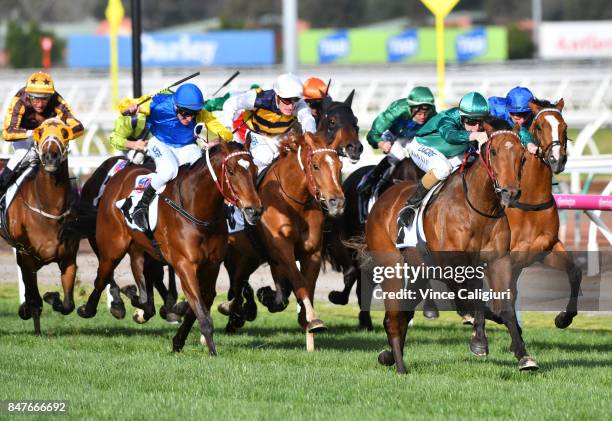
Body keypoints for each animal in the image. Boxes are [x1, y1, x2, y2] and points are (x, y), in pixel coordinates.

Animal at [0, 119, 79, 334]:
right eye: (40, 131)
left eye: (64, 132)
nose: (50, 156)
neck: (49, 206)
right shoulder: (25, 256)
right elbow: (34, 298)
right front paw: (27, 310)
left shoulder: (68, 258)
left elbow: (68, 305)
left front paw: (52, 297)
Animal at [76, 142, 260, 354]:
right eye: (231, 171)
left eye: (254, 170)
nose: (254, 210)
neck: (198, 210)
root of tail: (120, 174)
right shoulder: (184, 264)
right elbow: (201, 310)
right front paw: (212, 351)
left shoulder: (211, 265)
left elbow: (199, 305)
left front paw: (178, 341)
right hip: (112, 247)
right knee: (101, 277)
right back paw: (92, 309)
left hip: (140, 248)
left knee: (141, 280)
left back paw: (138, 300)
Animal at [221, 131, 346, 352]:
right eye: (316, 166)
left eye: (340, 165)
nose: (337, 203)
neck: (293, 202)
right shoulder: (282, 250)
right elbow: (299, 282)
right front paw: (313, 319)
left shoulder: (311, 252)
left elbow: (298, 290)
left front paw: (305, 322)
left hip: (247, 256)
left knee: (237, 282)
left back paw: (235, 311)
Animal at [366, 120, 532, 372]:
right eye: (494, 151)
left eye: (522, 156)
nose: (509, 191)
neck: (478, 209)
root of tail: (382, 199)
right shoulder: (454, 268)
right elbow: (472, 301)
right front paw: (479, 341)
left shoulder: (497, 261)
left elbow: (502, 307)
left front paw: (523, 355)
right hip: (391, 268)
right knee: (393, 317)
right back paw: (400, 367)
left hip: (418, 273)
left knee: (403, 313)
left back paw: (390, 356)